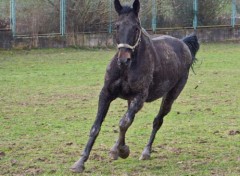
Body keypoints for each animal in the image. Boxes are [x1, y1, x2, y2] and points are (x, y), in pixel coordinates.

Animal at [70, 0, 200, 173]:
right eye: (117, 26)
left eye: (136, 28)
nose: (123, 59)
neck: (126, 69)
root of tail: (184, 44)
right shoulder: (106, 94)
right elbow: (97, 127)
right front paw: (80, 162)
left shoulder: (140, 96)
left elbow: (123, 123)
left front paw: (119, 151)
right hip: (131, 99)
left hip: (171, 94)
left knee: (157, 121)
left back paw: (145, 152)